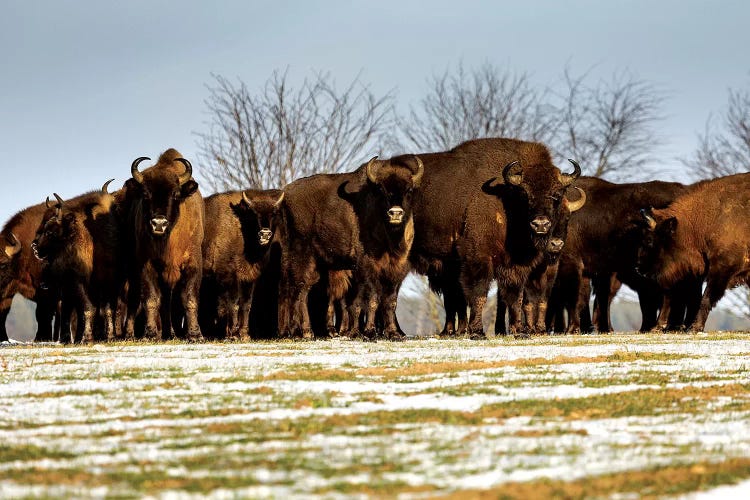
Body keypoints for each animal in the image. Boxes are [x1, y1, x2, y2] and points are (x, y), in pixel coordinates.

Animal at [123, 150, 206, 342]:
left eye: (175, 194)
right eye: (146, 193)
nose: (158, 223)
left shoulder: (192, 264)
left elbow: (189, 298)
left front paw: (195, 335)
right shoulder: (146, 266)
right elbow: (151, 299)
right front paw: (150, 334)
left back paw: (172, 333)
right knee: (138, 300)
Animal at [201, 188, 286, 340]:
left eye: (274, 213)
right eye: (254, 214)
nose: (265, 233)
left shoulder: (249, 278)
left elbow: (246, 304)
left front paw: (244, 334)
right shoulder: (229, 276)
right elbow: (233, 303)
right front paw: (233, 333)